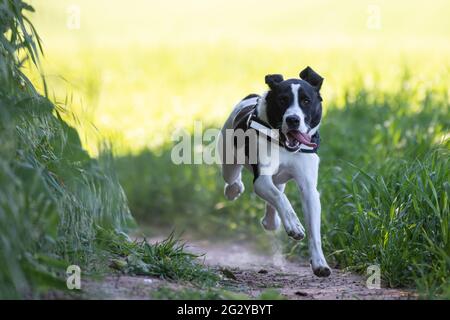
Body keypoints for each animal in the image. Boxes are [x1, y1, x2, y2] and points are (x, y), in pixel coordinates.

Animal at [218, 66, 330, 276]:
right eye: (282, 100)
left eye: (306, 101)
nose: (293, 119)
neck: (284, 145)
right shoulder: (262, 178)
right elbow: (281, 198)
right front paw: (294, 225)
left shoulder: (309, 189)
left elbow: (314, 230)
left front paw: (320, 263)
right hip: (228, 156)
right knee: (232, 177)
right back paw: (234, 190)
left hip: (279, 179)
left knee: (276, 192)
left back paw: (271, 220)